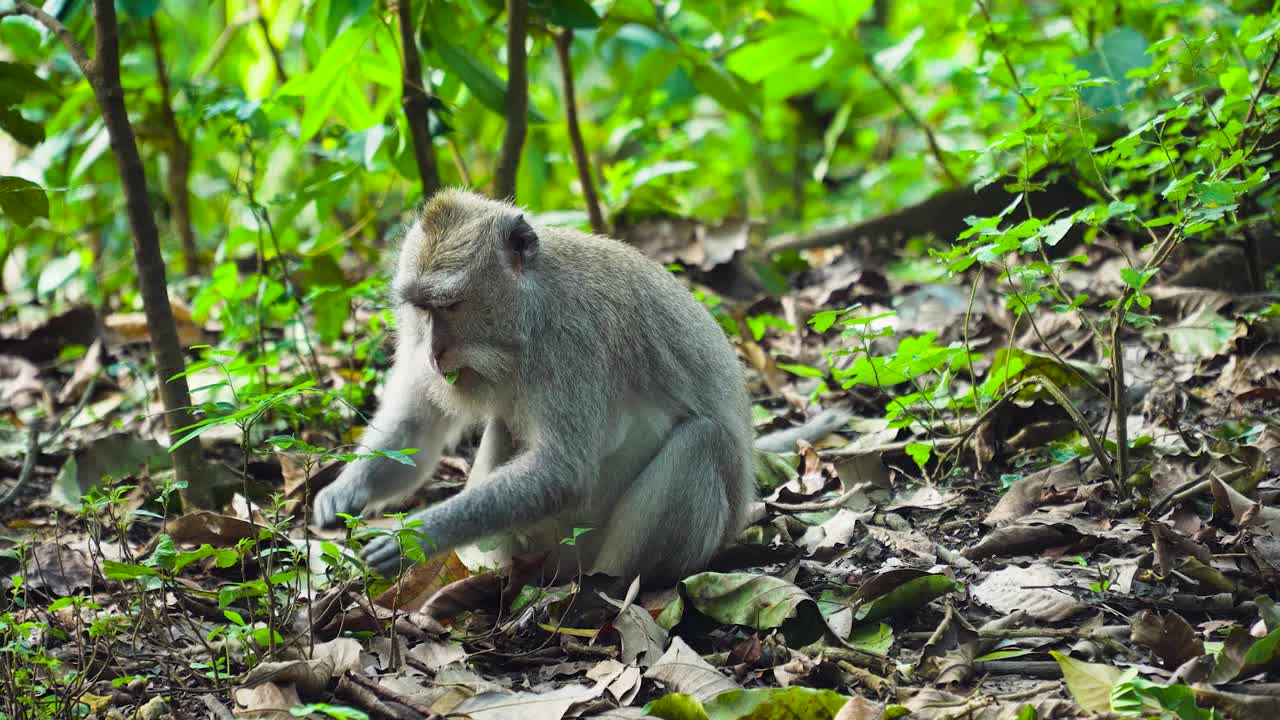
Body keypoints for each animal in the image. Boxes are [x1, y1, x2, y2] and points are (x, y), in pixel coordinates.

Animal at [312, 189, 849, 584]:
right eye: (421, 310)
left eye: (451, 305)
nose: (433, 351)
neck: (529, 307)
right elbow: (416, 431)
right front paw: (344, 492)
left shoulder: (574, 339)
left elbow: (562, 471)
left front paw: (417, 538)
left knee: (703, 440)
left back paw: (607, 588)